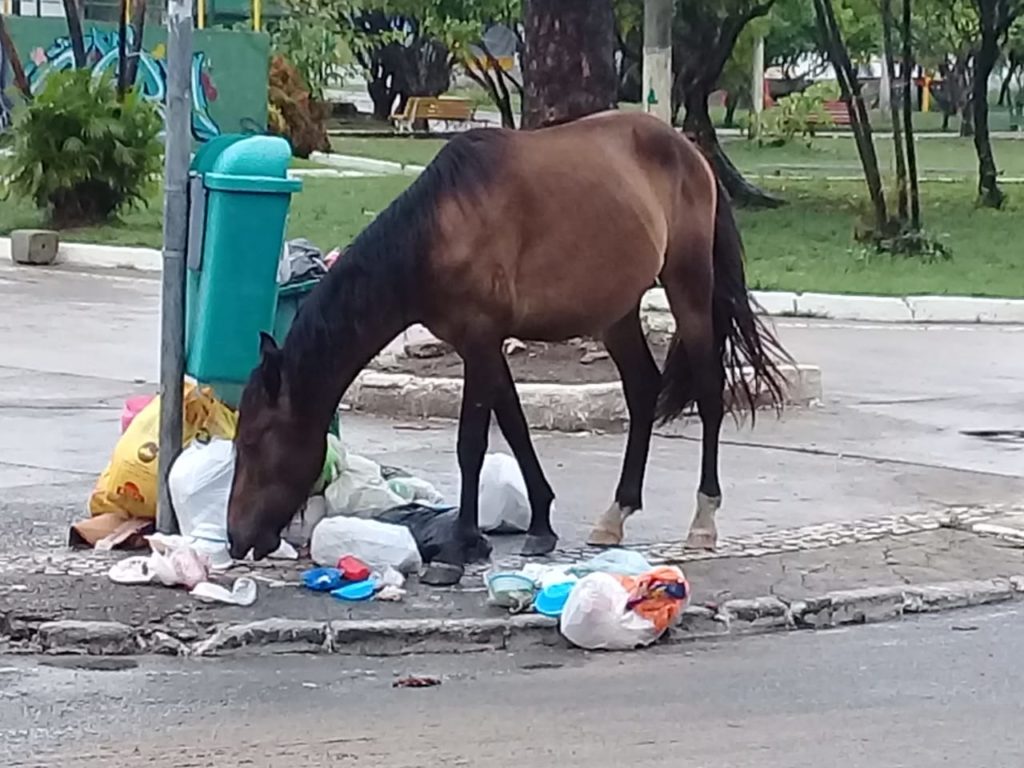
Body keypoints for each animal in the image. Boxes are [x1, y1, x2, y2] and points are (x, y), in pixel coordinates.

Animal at [228, 111, 786, 585]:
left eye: (254, 441)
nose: (236, 538)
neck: (440, 229)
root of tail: (690, 152)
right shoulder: (481, 343)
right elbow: (514, 425)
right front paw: (539, 524)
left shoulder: (479, 339)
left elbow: (472, 444)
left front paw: (456, 551)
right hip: (617, 312)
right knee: (643, 389)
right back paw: (617, 513)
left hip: (687, 284)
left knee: (710, 391)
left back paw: (703, 519)